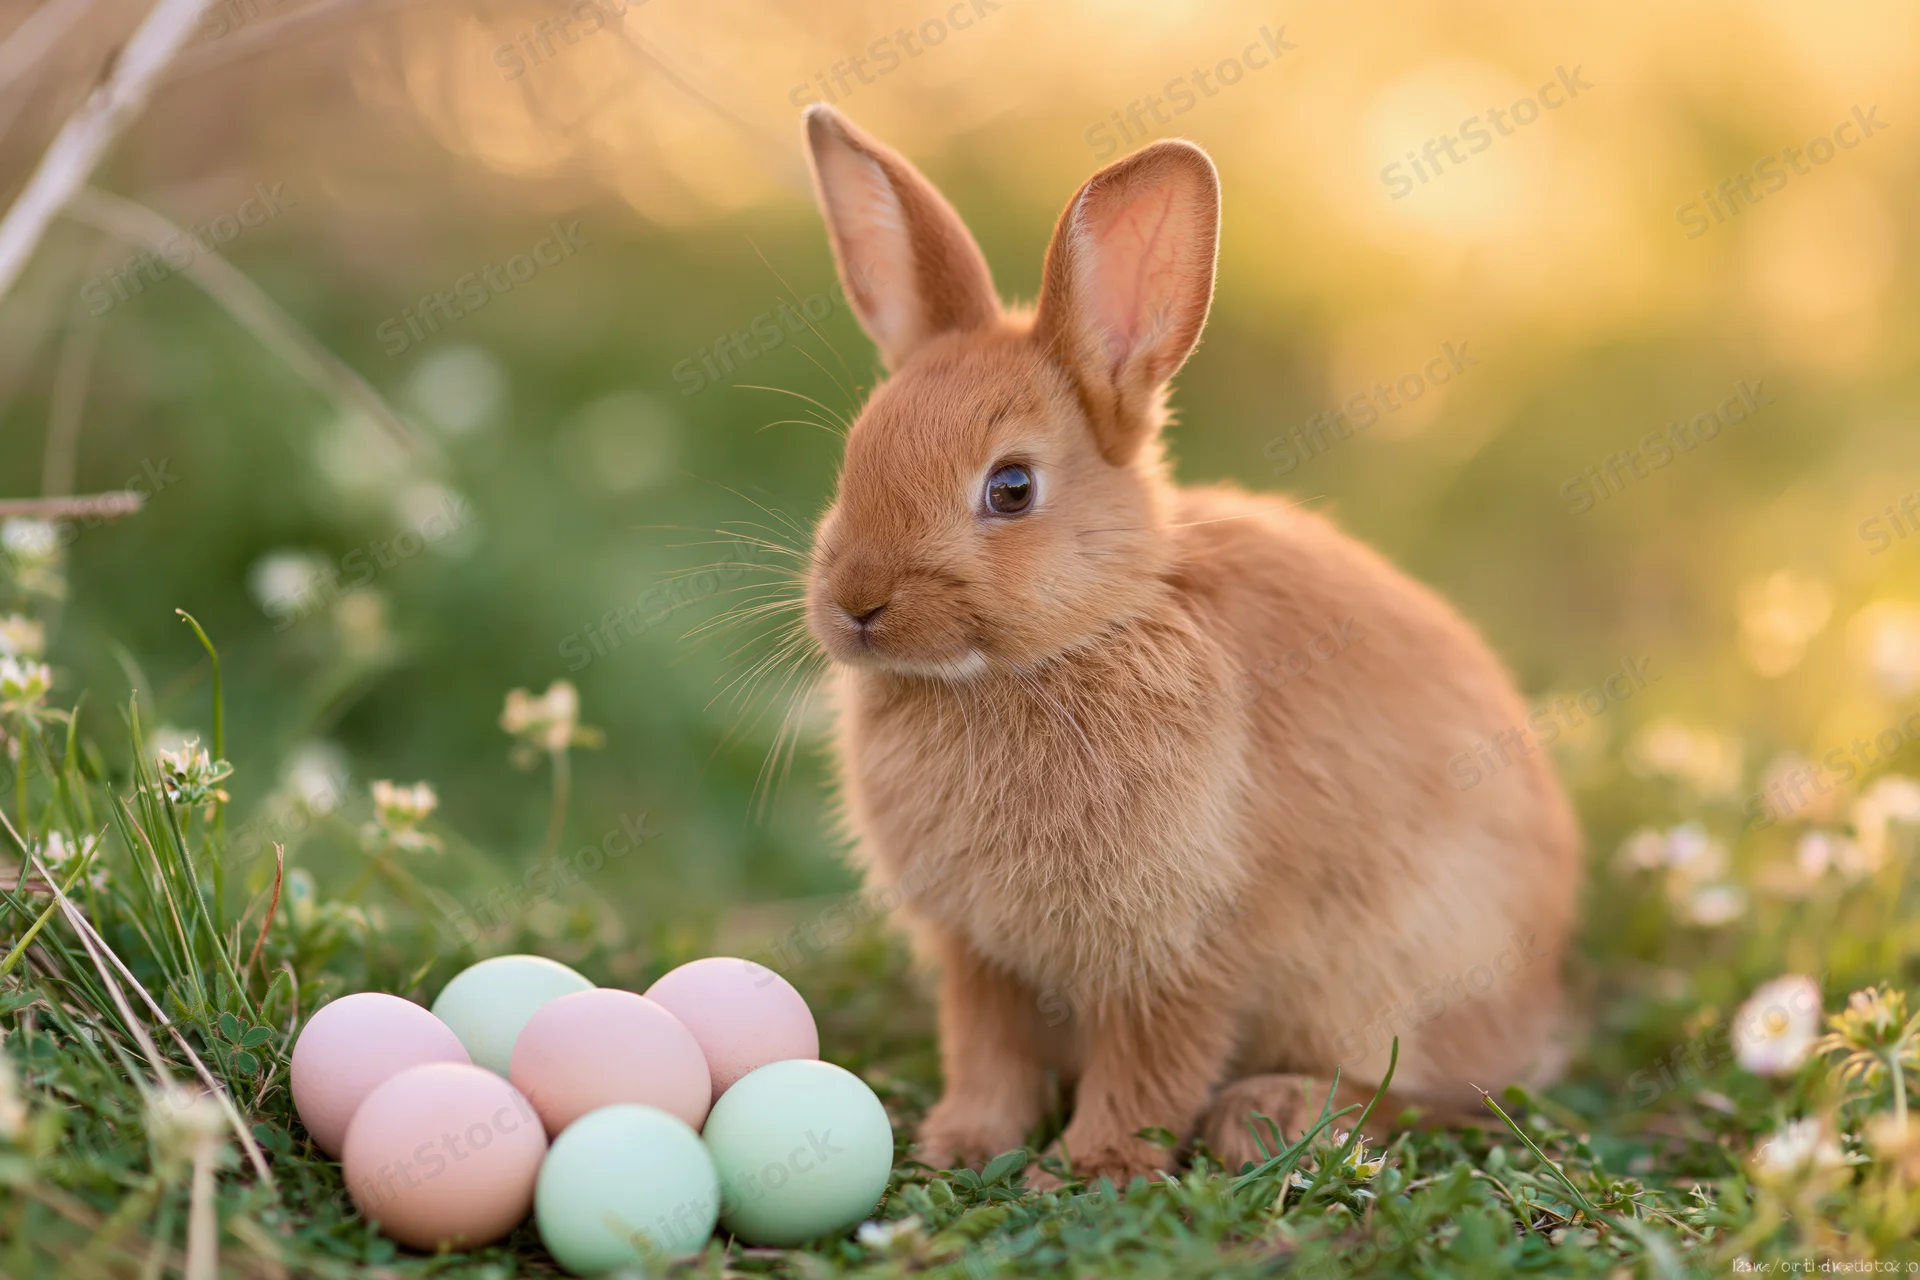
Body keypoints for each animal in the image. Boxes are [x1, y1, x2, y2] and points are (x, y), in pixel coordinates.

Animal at [794, 103, 1581, 1187]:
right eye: (853, 456)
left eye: (1011, 488)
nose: (856, 605)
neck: (1079, 638)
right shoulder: (981, 957)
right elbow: (989, 1052)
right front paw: (966, 1142)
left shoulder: (1187, 947)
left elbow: (1153, 1065)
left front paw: (1089, 1169)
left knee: (1428, 1091)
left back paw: (1270, 1115)